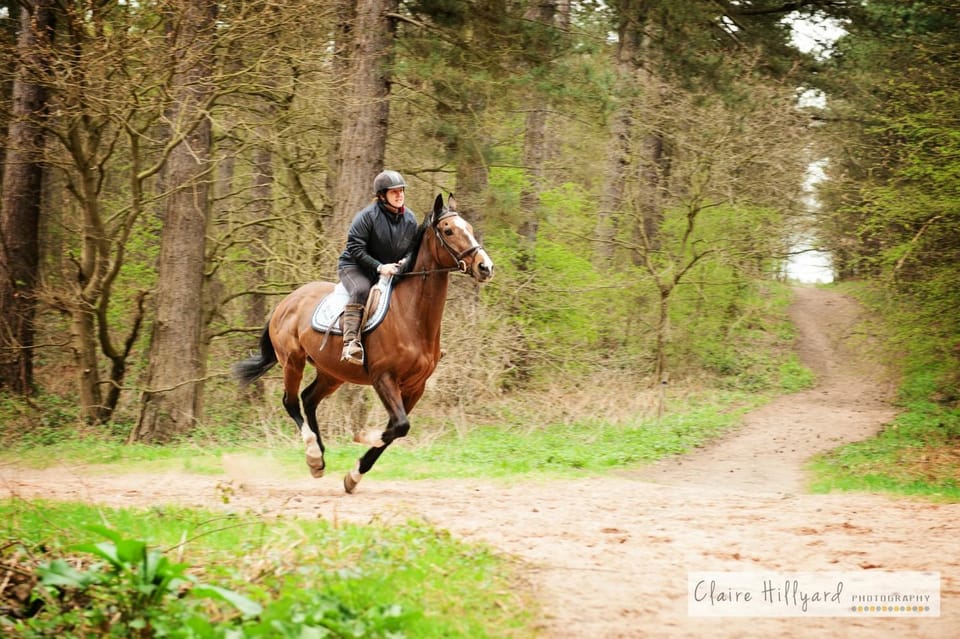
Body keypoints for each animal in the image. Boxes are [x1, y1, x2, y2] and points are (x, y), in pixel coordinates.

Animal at [232, 194, 494, 493]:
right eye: (449, 230)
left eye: (469, 228)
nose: (485, 267)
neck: (412, 316)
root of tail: (286, 302)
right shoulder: (384, 377)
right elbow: (399, 426)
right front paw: (363, 436)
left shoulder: (415, 387)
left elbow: (397, 428)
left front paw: (354, 475)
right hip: (292, 361)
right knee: (291, 402)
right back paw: (313, 453)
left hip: (332, 372)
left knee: (309, 399)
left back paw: (320, 459)